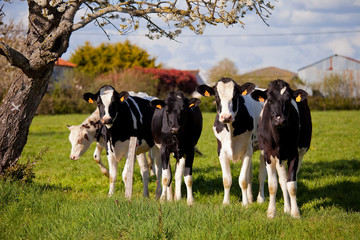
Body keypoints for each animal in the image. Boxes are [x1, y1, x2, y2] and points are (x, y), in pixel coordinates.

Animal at [250, 79, 312, 218]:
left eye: (288, 100)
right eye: (269, 100)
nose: (280, 120)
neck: (279, 138)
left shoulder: (294, 155)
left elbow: (292, 185)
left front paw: (295, 212)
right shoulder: (268, 155)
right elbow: (273, 185)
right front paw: (271, 212)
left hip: (298, 155)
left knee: (287, 181)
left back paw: (288, 208)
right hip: (278, 158)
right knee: (282, 181)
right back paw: (286, 208)